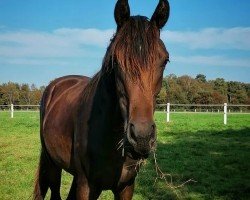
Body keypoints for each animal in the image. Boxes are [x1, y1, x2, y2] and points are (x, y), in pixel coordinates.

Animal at [33, 0, 170, 199]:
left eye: (165, 60)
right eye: (115, 61)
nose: (142, 137)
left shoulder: (126, 187)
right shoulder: (86, 186)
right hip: (52, 164)